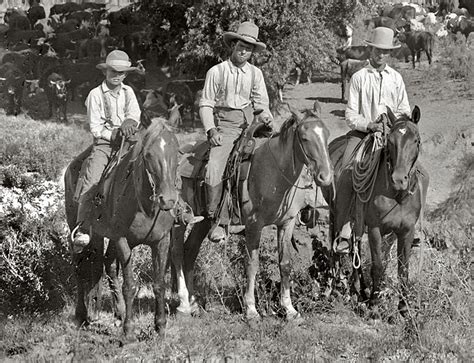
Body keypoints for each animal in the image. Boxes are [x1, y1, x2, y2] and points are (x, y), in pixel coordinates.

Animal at [64, 118, 179, 340]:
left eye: (177, 151)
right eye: (148, 154)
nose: (168, 199)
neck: (144, 206)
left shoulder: (161, 242)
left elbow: (159, 284)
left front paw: (160, 327)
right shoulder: (122, 240)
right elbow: (129, 286)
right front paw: (129, 332)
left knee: (107, 265)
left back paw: (119, 313)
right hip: (79, 230)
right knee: (79, 268)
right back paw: (80, 316)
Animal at [171, 103, 334, 324]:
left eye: (326, 134)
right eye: (305, 137)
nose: (326, 177)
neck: (273, 172)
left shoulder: (287, 223)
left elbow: (285, 264)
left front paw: (289, 309)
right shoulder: (254, 225)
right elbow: (252, 264)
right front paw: (250, 309)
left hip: (203, 220)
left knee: (190, 251)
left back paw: (195, 304)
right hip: (179, 219)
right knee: (178, 252)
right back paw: (184, 305)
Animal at [322, 106, 430, 316]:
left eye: (417, 140)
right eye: (391, 141)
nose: (399, 179)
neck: (397, 195)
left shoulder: (406, 231)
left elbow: (402, 269)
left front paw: (403, 309)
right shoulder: (374, 229)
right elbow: (378, 266)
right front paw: (374, 305)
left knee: (353, 248)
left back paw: (360, 290)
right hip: (337, 214)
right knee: (336, 248)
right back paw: (333, 290)